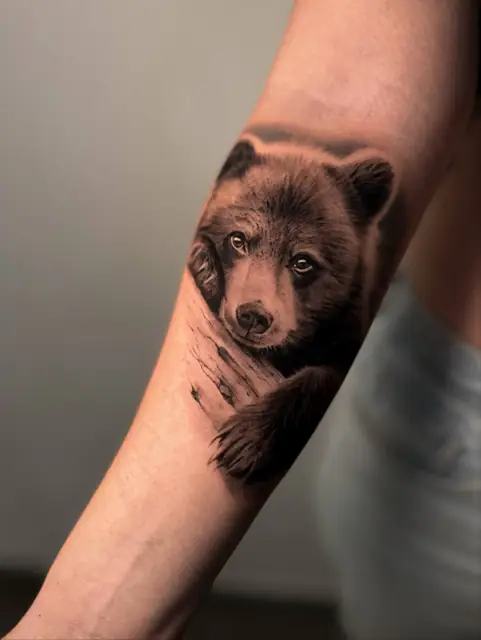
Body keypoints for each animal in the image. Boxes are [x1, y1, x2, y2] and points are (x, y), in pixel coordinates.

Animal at [188, 131, 397, 484]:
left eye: (302, 262)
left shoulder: (342, 332)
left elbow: (324, 376)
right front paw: (205, 266)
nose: (253, 316)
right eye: (238, 239)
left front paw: (244, 441)